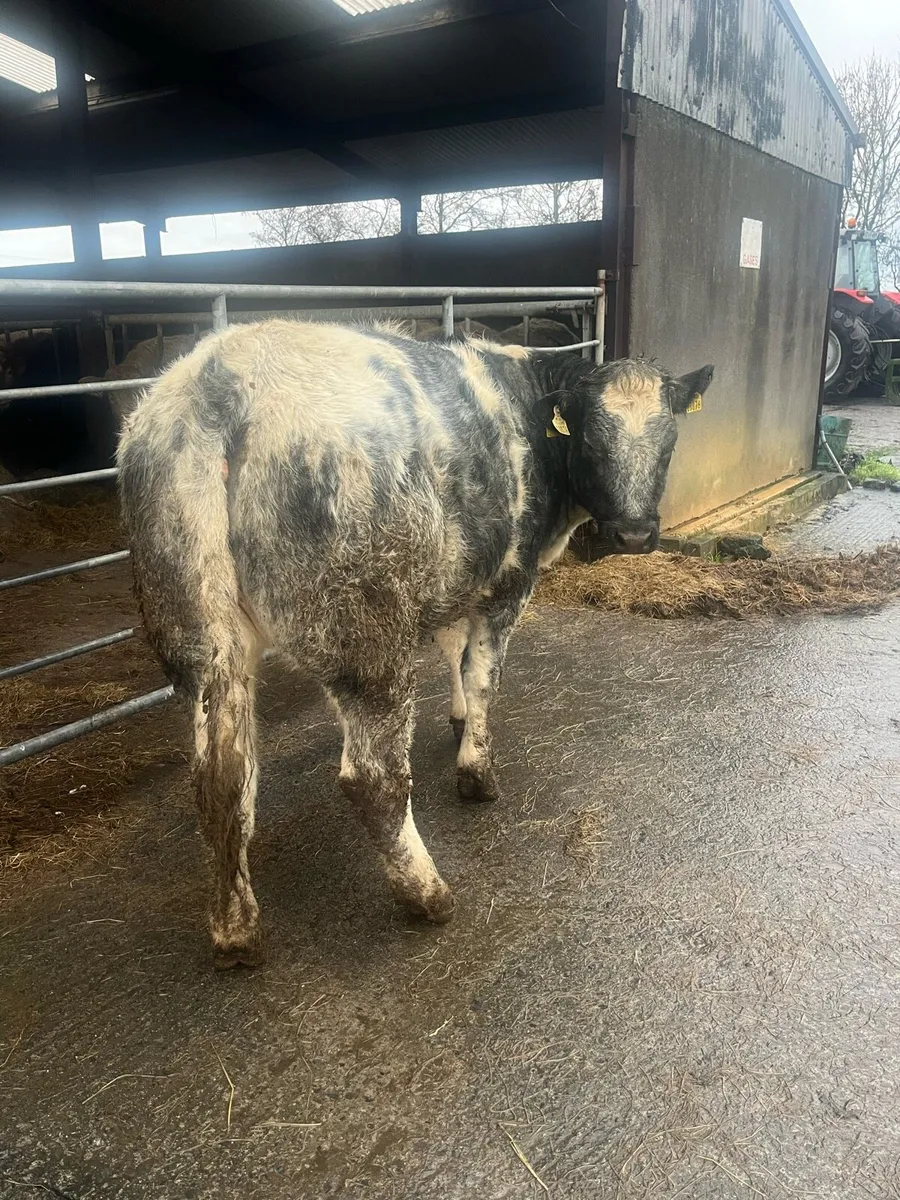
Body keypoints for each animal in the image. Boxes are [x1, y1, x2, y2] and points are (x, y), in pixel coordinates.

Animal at [118, 320, 713, 968]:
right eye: (591, 442)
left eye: (668, 441)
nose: (634, 534)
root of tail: (218, 380)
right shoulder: (508, 580)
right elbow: (482, 676)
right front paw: (477, 772)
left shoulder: (460, 574)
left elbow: (454, 650)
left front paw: (456, 719)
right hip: (365, 634)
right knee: (372, 778)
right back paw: (428, 895)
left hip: (199, 636)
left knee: (222, 779)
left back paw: (235, 931)